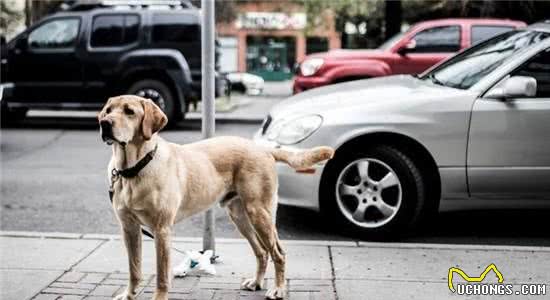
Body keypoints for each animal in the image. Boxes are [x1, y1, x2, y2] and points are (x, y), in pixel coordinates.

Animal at [97, 95, 334, 300]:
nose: (104, 123)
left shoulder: (162, 230)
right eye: (108, 110)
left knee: (278, 252)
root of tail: (263, 149)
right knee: (261, 252)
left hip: (260, 213)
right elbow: (134, 269)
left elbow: (162, 275)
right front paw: (128, 295)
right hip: (240, 216)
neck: (134, 169)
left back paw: (278, 289)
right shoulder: (129, 228)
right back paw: (257, 282)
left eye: (129, 111)